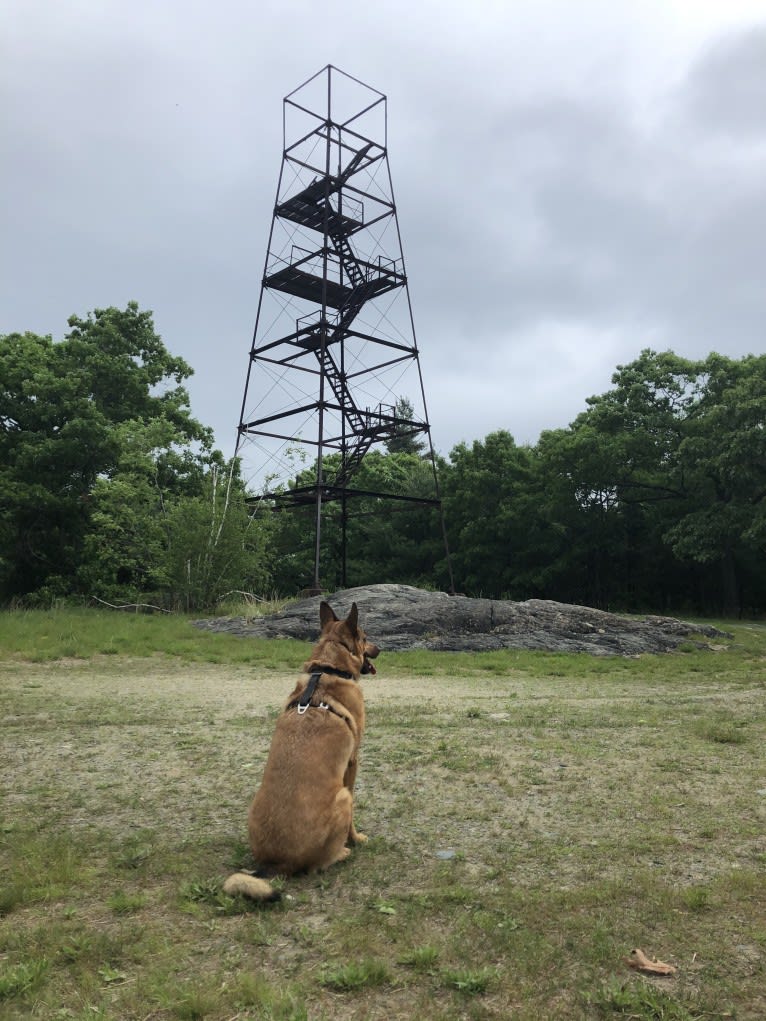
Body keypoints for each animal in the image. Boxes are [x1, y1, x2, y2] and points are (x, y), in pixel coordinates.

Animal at [223, 596, 379, 902]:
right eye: (365, 637)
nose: (380, 648)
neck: (328, 667)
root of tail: (275, 864)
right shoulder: (352, 764)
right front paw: (356, 839)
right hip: (343, 797)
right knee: (318, 865)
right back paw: (342, 852)